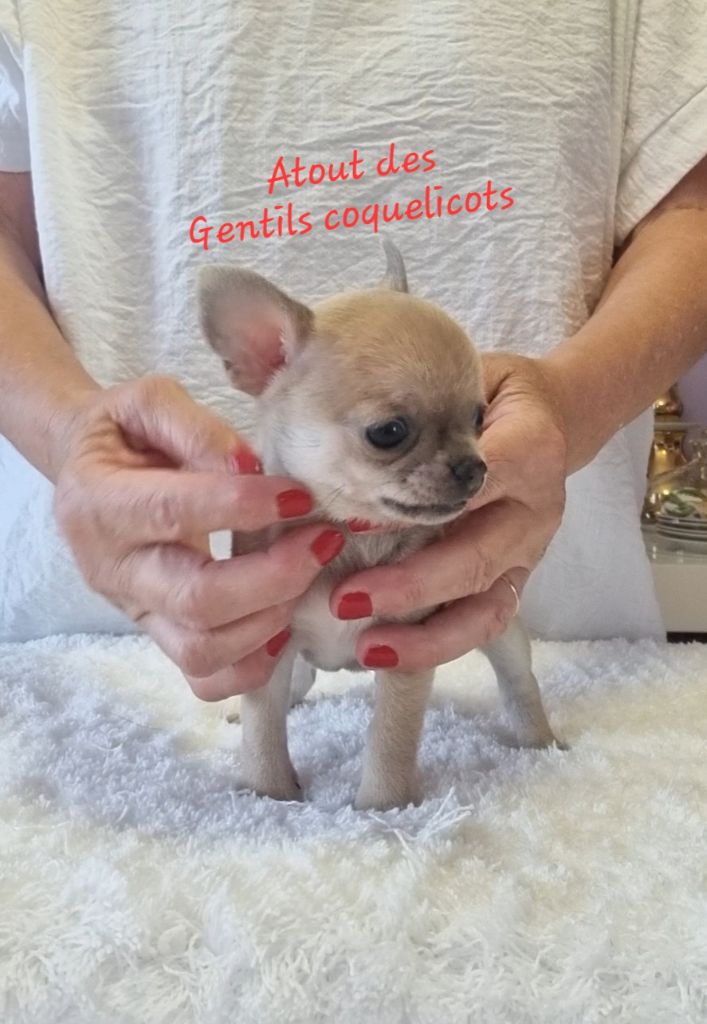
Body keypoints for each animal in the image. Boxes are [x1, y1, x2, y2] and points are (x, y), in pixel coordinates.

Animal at [197, 239, 561, 810]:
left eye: (480, 419)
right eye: (388, 432)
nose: (474, 467)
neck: (351, 532)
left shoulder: (403, 654)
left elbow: (391, 737)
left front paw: (382, 807)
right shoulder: (269, 643)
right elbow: (263, 726)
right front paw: (268, 793)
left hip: (501, 630)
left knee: (518, 681)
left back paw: (538, 740)